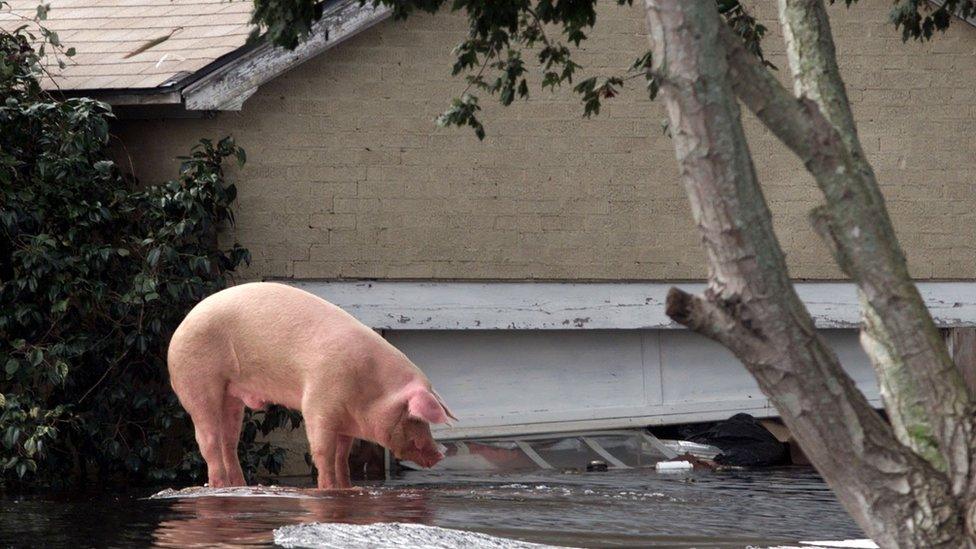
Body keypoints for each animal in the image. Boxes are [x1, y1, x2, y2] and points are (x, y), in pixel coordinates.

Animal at [168, 282, 458, 488]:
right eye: (416, 418)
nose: (441, 453)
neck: (369, 391)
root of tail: (179, 329)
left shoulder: (346, 421)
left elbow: (342, 455)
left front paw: (347, 487)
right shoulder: (319, 402)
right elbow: (323, 452)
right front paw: (328, 488)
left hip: (232, 395)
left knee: (229, 440)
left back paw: (238, 486)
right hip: (198, 381)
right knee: (207, 439)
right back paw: (219, 485)